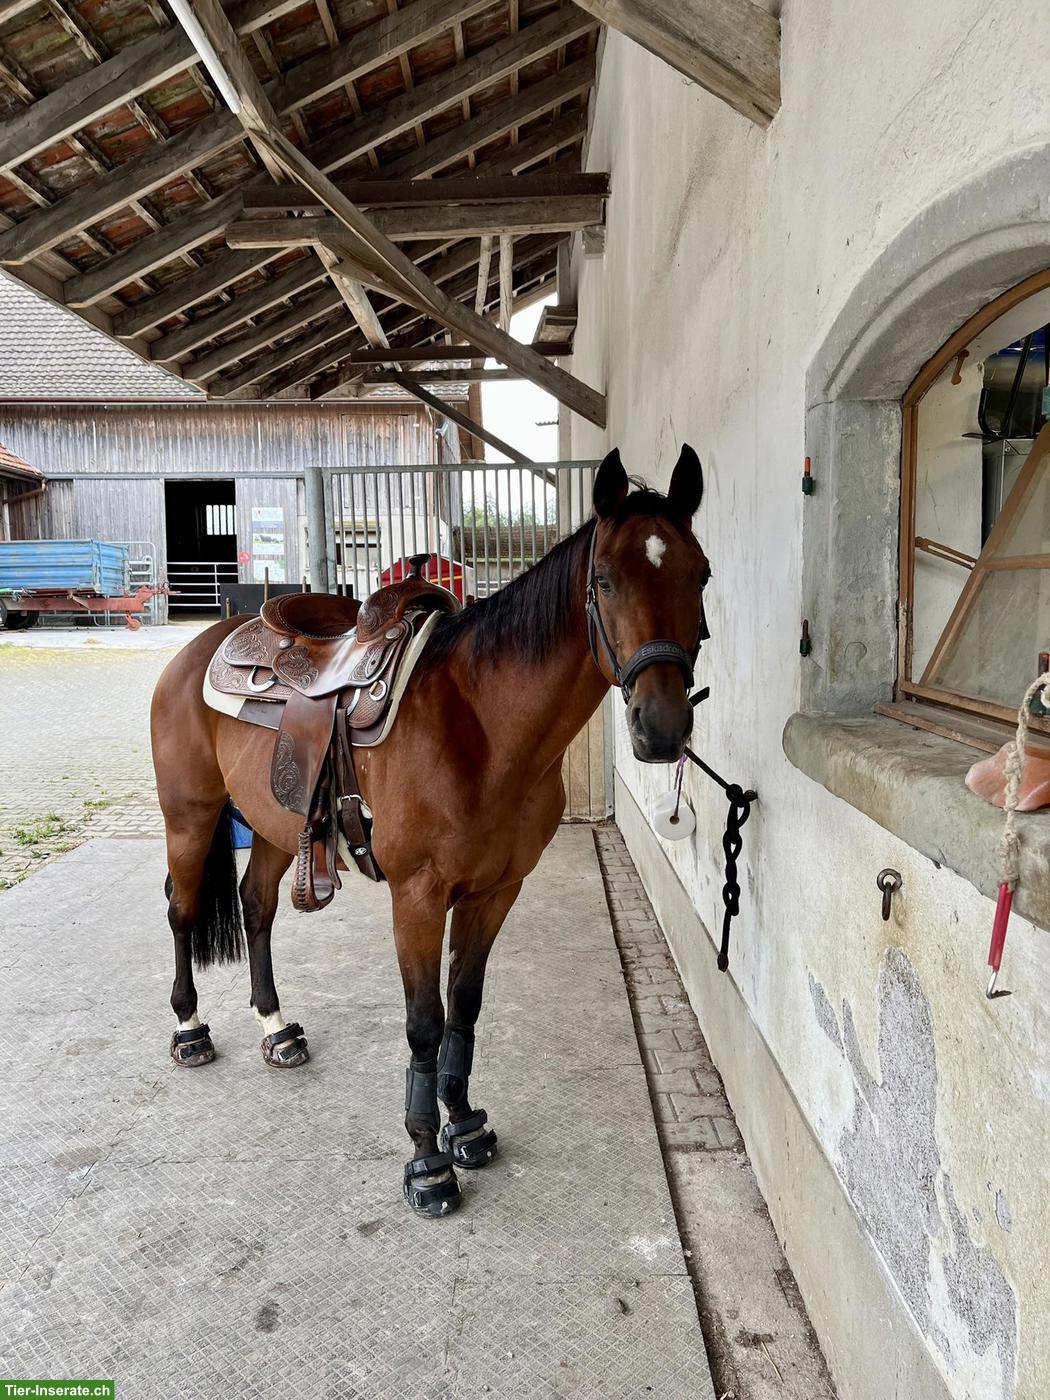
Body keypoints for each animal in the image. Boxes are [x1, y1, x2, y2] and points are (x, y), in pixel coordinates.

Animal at [150, 445, 711, 1216]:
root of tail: (200, 645)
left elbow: (463, 1010)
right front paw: (426, 1162)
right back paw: (189, 1030)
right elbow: (422, 1022)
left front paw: (465, 1126)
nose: (663, 727)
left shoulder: (495, 892)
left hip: (271, 827)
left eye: (701, 573)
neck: (480, 729)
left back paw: (276, 1028)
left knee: (256, 907)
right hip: (191, 816)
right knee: (181, 912)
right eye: (604, 580)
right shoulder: (416, 898)